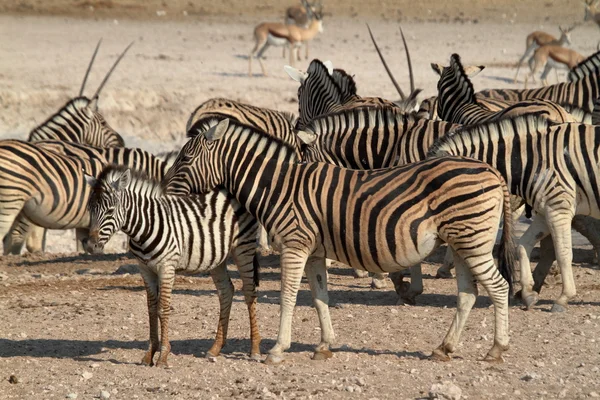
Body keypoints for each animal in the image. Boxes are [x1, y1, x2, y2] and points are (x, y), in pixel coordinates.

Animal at [83, 166, 262, 368]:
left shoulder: (166, 267)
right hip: (217, 256)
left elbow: (163, 308)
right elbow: (151, 309)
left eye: (110, 210)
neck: (144, 226)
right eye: (89, 209)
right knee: (226, 291)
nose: (90, 246)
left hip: (243, 247)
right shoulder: (144, 269)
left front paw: (162, 356)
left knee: (249, 291)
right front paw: (149, 354)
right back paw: (215, 348)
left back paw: (255, 349)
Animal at [163, 118, 516, 362]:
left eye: (185, 160)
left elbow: (288, 296)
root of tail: (491, 169)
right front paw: (324, 345)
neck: (280, 186)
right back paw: (444, 348)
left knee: (498, 288)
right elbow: (320, 297)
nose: (165, 194)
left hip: (473, 241)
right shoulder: (315, 252)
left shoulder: (294, 245)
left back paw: (497, 349)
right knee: (468, 294)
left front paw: (277, 349)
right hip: (461, 243)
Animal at [428, 114, 600, 314]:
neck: (531, 159)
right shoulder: (546, 210)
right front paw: (527, 293)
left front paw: (563, 298)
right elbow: (523, 245)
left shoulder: (559, 207)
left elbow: (563, 254)